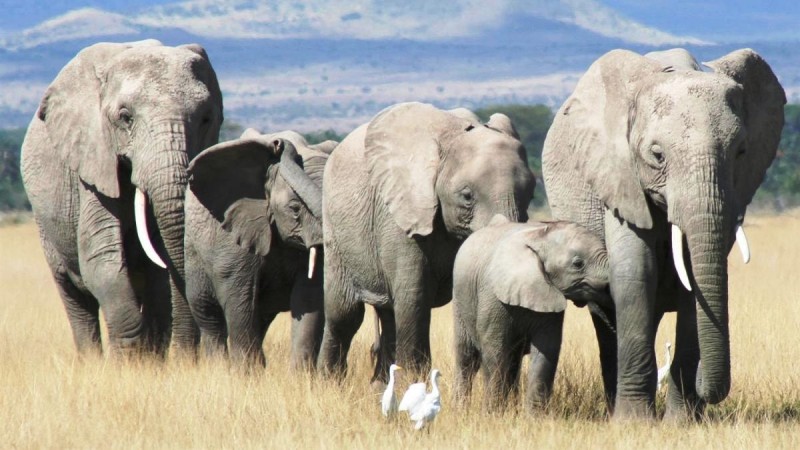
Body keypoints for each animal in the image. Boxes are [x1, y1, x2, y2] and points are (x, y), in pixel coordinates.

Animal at [21, 40, 222, 356]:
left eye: (206, 119)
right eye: (125, 117)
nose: (187, 358)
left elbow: (160, 269)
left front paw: (147, 358)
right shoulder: (93, 161)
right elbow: (100, 257)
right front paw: (128, 358)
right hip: (45, 224)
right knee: (74, 295)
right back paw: (92, 360)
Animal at [184, 130, 334, 370]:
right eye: (295, 209)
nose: (278, 143)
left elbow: (310, 295)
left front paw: (300, 376)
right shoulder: (234, 234)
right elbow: (239, 294)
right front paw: (247, 374)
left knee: (261, 317)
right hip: (193, 248)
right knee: (207, 313)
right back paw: (217, 368)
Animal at [318, 103, 536, 384]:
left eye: (531, 194)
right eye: (467, 196)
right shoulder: (400, 214)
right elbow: (415, 296)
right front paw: (414, 383)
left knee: (388, 313)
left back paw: (379, 385)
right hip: (335, 227)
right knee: (344, 313)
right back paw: (328, 382)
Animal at [450, 214, 612, 412]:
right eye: (578, 264)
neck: (539, 238)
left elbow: (546, 350)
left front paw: (534, 416)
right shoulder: (493, 296)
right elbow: (494, 350)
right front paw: (492, 414)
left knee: (513, 360)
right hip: (460, 298)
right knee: (467, 357)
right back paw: (460, 409)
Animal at [540, 47, 784, 420]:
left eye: (741, 152)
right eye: (657, 156)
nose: (707, 386)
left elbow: (694, 285)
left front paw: (683, 423)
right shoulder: (619, 175)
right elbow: (635, 272)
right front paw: (633, 423)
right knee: (606, 316)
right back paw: (616, 407)